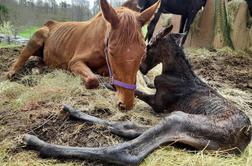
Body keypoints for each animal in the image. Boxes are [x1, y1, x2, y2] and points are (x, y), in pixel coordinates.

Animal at [6, 0, 159, 111]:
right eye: (111, 51)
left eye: (143, 53)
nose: (126, 103)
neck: (101, 40)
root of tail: (50, 23)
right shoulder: (75, 62)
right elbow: (93, 80)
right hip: (38, 36)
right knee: (23, 56)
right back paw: (11, 72)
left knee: (41, 62)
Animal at [22, 26, 251, 165]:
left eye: (148, 46)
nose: (141, 66)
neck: (176, 72)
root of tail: (244, 137)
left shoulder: (159, 103)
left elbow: (136, 91)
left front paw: (107, 83)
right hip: (185, 131)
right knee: (128, 127)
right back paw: (72, 111)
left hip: (179, 119)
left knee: (127, 151)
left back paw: (38, 142)